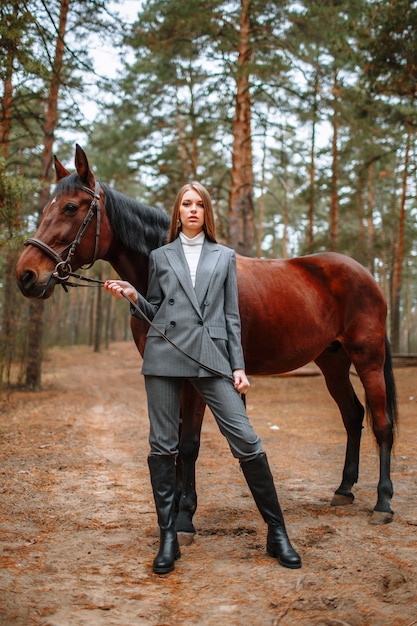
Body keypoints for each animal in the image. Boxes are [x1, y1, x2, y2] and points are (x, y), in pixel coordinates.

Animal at [14, 143, 396, 536]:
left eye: (70, 207)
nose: (25, 274)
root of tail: (365, 274)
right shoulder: (168, 372)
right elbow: (174, 442)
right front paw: (172, 514)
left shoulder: (198, 377)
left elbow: (189, 444)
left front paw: (184, 517)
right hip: (332, 361)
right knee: (353, 415)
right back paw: (344, 489)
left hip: (368, 360)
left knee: (382, 424)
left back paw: (383, 503)